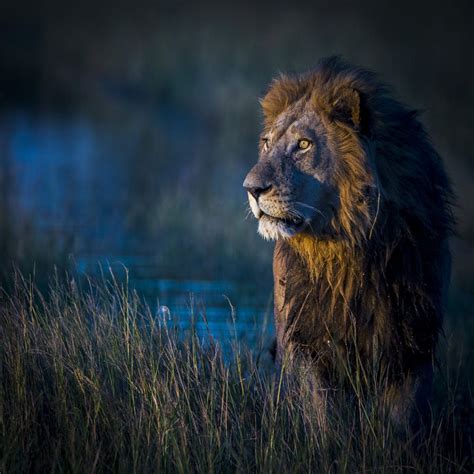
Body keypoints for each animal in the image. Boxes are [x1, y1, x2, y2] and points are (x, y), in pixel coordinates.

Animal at [244, 56, 456, 434]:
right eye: (267, 142)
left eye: (303, 145)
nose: (251, 188)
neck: (348, 251)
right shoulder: (307, 337)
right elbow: (323, 414)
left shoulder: (414, 341)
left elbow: (403, 421)